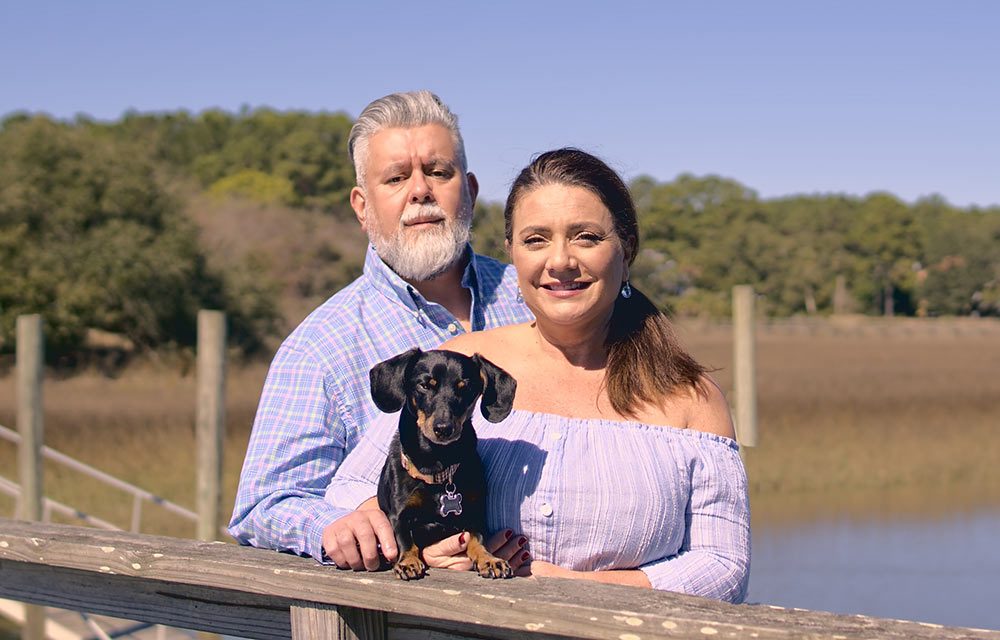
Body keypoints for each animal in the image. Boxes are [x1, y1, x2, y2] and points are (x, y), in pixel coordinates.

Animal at [372, 348, 520, 584]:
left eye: (465, 388)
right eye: (425, 385)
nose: (443, 428)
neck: (437, 465)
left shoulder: (474, 513)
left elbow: (477, 538)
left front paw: (489, 560)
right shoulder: (399, 515)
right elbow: (405, 539)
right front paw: (408, 562)